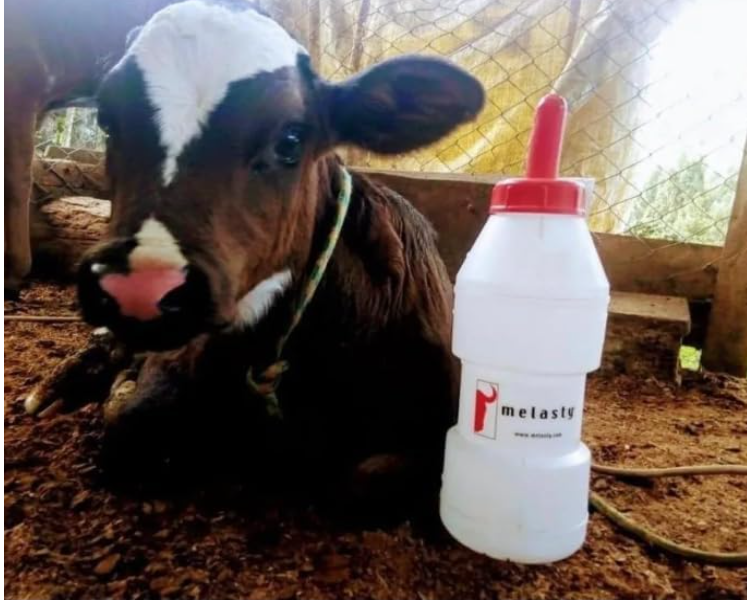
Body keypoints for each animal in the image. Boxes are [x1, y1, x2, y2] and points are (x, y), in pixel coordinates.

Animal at [26, 0, 484, 513]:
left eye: (291, 139)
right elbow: (131, 421)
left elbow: (364, 481)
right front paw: (122, 384)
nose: (140, 287)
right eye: (107, 120)